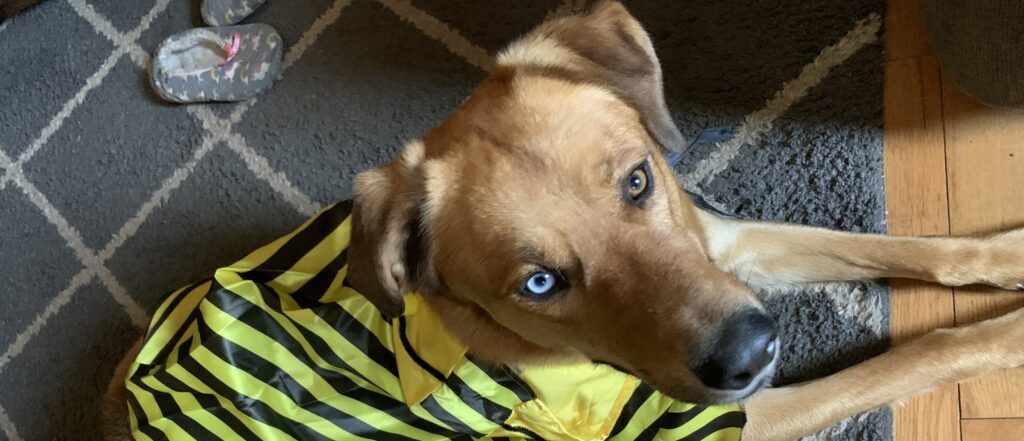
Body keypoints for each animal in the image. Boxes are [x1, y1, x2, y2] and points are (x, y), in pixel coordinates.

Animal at [102, 2, 1024, 440]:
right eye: (540, 282)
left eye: (639, 181)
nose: (752, 352)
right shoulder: (719, 415)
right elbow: (914, 357)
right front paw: (1006, 335)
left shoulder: (721, 241)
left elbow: (922, 251)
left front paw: (1010, 255)